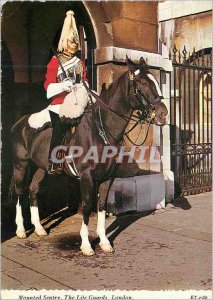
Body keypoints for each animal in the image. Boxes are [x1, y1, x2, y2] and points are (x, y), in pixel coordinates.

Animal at [9, 56, 168, 255]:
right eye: (142, 82)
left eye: (155, 82)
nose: (163, 113)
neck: (102, 129)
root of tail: (19, 123)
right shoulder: (86, 177)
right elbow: (86, 206)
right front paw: (86, 244)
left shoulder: (107, 178)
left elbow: (101, 207)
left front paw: (104, 242)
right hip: (20, 165)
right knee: (19, 191)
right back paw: (21, 230)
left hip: (41, 167)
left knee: (33, 189)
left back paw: (38, 228)